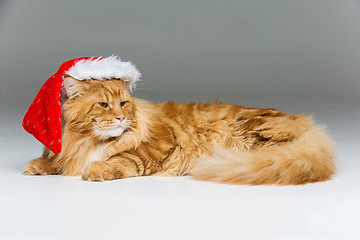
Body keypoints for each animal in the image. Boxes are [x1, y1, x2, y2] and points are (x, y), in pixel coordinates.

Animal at [23, 78, 336, 185]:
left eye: (123, 103)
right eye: (103, 104)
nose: (122, 116)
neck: (89, 140)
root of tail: (306, 125)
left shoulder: (159, 144)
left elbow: (124, 158)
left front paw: (98, 168)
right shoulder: (68, 149)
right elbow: (54, 160)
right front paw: (39, 165)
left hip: (253, 132)